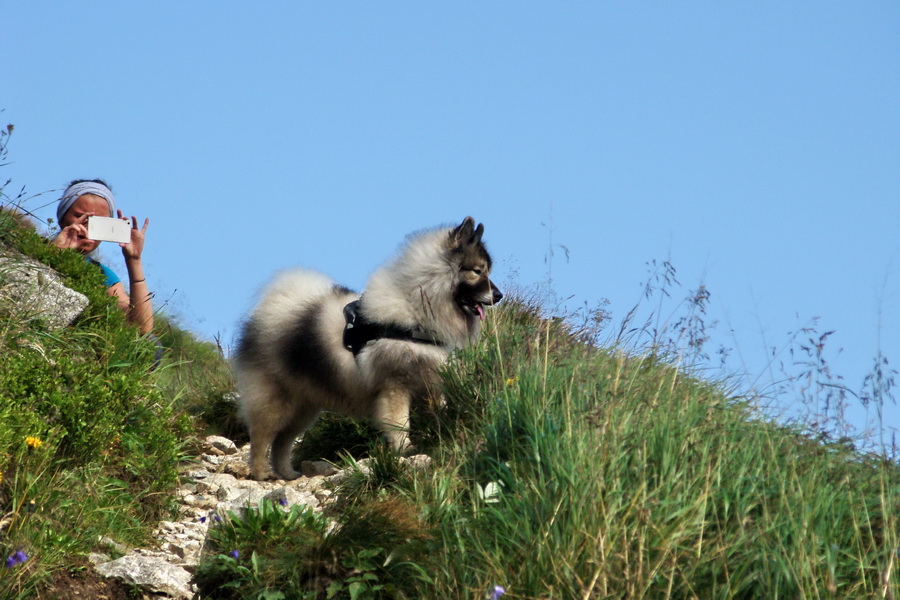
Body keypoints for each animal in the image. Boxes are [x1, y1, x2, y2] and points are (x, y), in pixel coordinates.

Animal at [236, 216, 502, 478]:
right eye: (477, 271)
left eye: (487, 271)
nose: (498, 295)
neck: (414, 308)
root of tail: (273, 305)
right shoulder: (395, 386)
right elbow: (399, 423)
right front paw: (405, 449)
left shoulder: (429, 383)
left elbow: (436, 413)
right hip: (276, 400)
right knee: (261, 437)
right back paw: (261, 473)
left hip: (305, 406)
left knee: (282, 441)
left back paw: (287, 473)